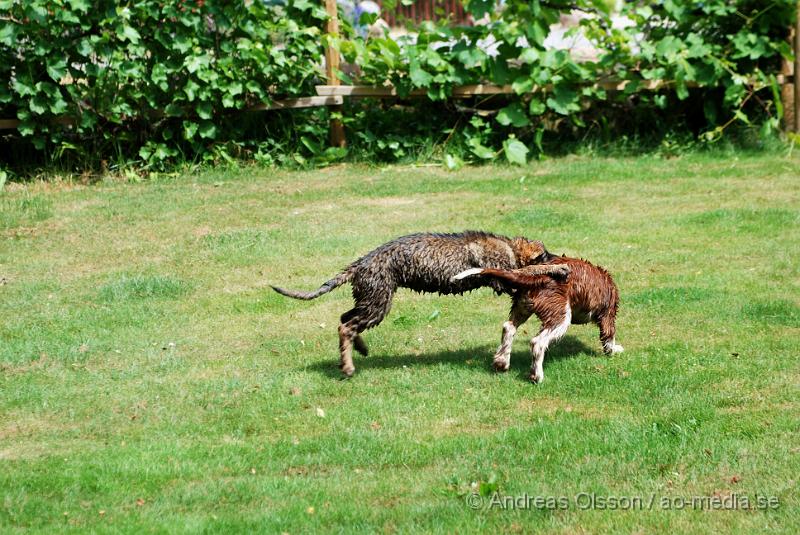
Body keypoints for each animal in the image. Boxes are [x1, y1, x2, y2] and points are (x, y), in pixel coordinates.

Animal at [454, 258, 620, 384]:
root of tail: (539, 275)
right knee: (537, 342)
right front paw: (613, 351)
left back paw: (502, 362)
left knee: (508, 327)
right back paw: (537, 375)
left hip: (522, 305)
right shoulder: (608, 313)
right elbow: (609, 334)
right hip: (560, 314)